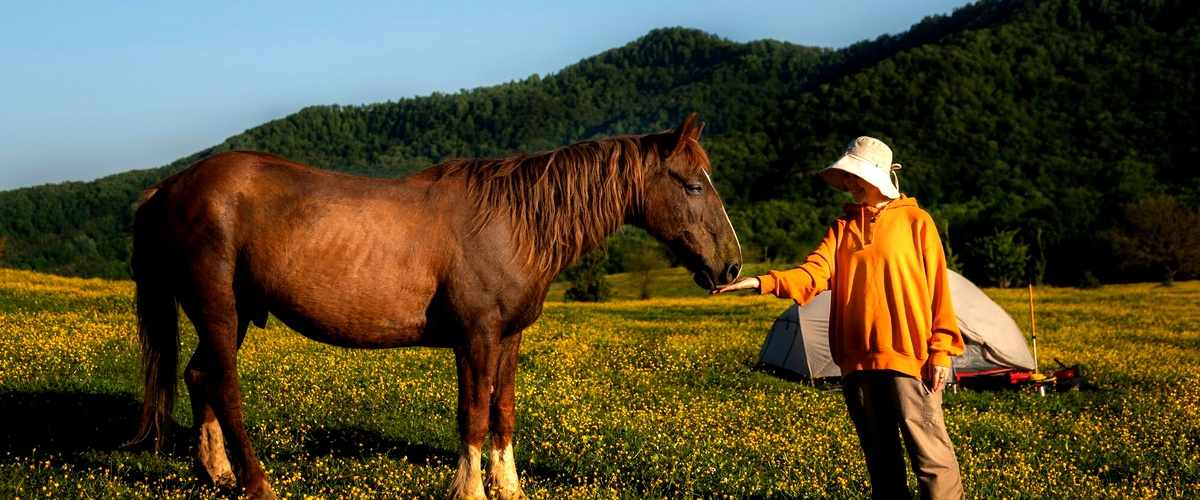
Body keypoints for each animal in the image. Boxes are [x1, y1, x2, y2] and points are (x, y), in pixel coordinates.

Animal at [129, 113, 741, 499]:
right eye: (692, 185)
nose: (731, 267)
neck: (513, 223)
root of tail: (169, 187)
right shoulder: (475, 338)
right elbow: (472, 415)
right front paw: (469, 489)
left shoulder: (509, 338)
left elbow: (502, 412)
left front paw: (509, 488)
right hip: (218, 310)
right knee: (224, 386)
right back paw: (256, 483)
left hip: (228, 316)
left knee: (199, 376)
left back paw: (216, 474)